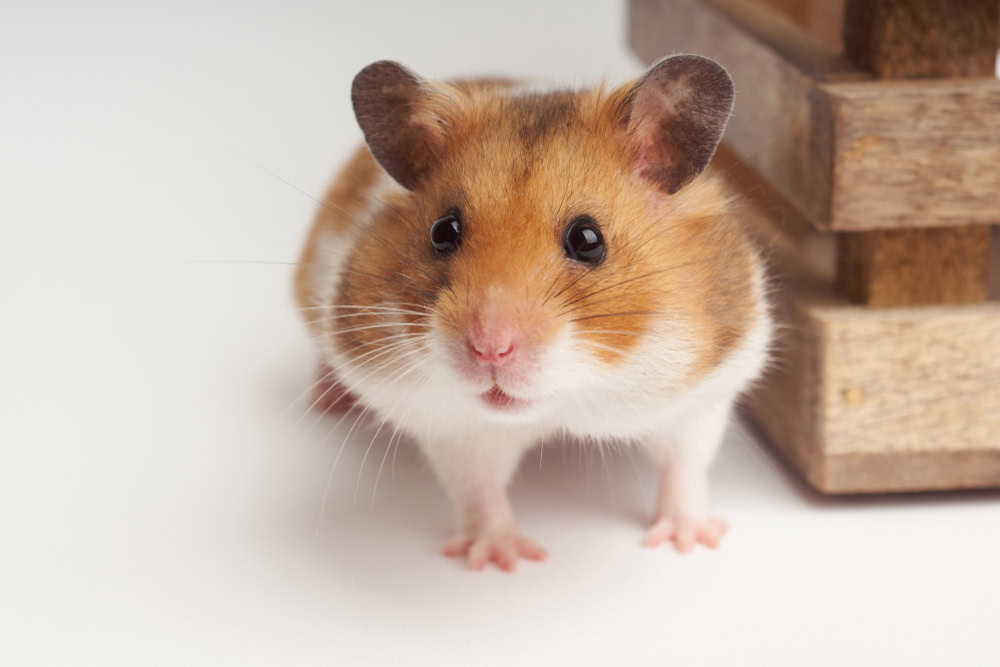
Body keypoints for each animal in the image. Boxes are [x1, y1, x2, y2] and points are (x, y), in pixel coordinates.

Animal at [294, 56, 772, 571]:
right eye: (443, 231)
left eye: (588, 239)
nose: (490, 349)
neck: (567, 401)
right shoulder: (454, 427)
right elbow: (479, 490)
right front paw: (502, 560)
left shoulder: (704, 392)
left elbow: (685, 465)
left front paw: (691, 541)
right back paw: (327, 399)